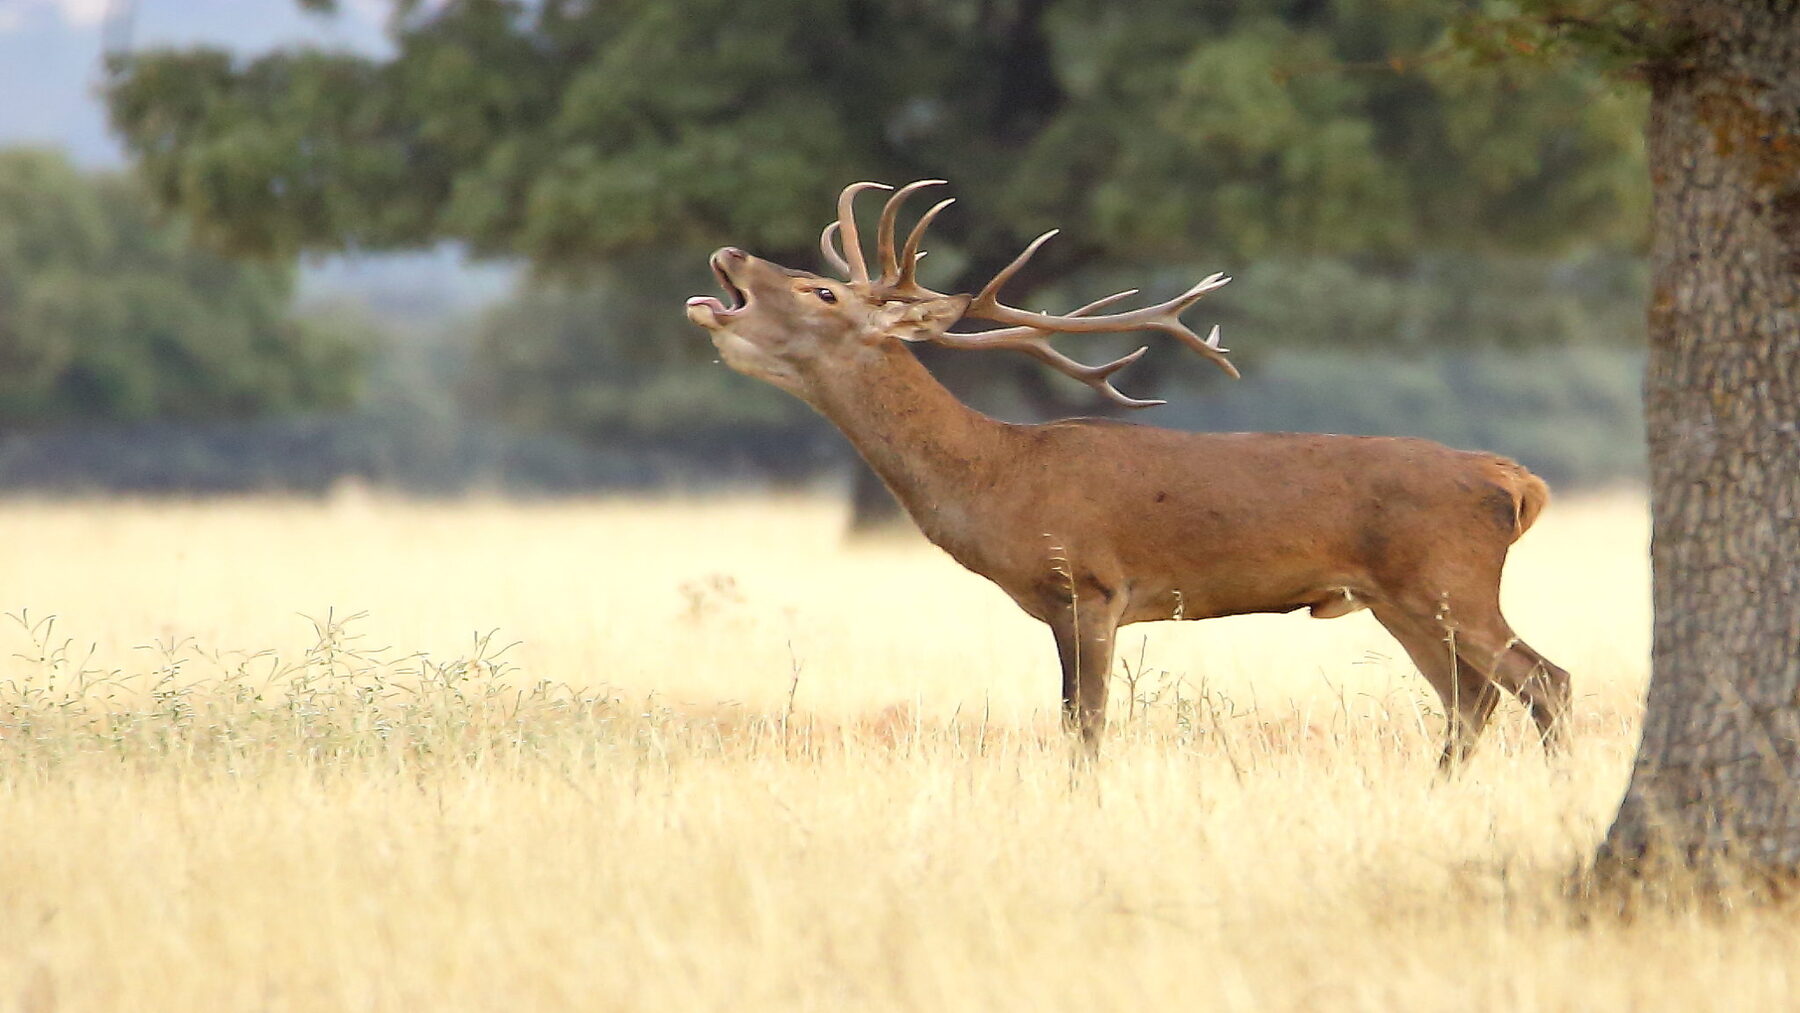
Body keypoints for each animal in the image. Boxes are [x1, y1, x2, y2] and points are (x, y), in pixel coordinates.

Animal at [684, 179, 1571, 766]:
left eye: (821, 290)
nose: (728, 251)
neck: (995, 477)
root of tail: (1514, 481)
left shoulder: (1090, 586)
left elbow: (1086, 727)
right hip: (1398, 600)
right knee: (1473, 700)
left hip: (1449, 579)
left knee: (1545, 680)